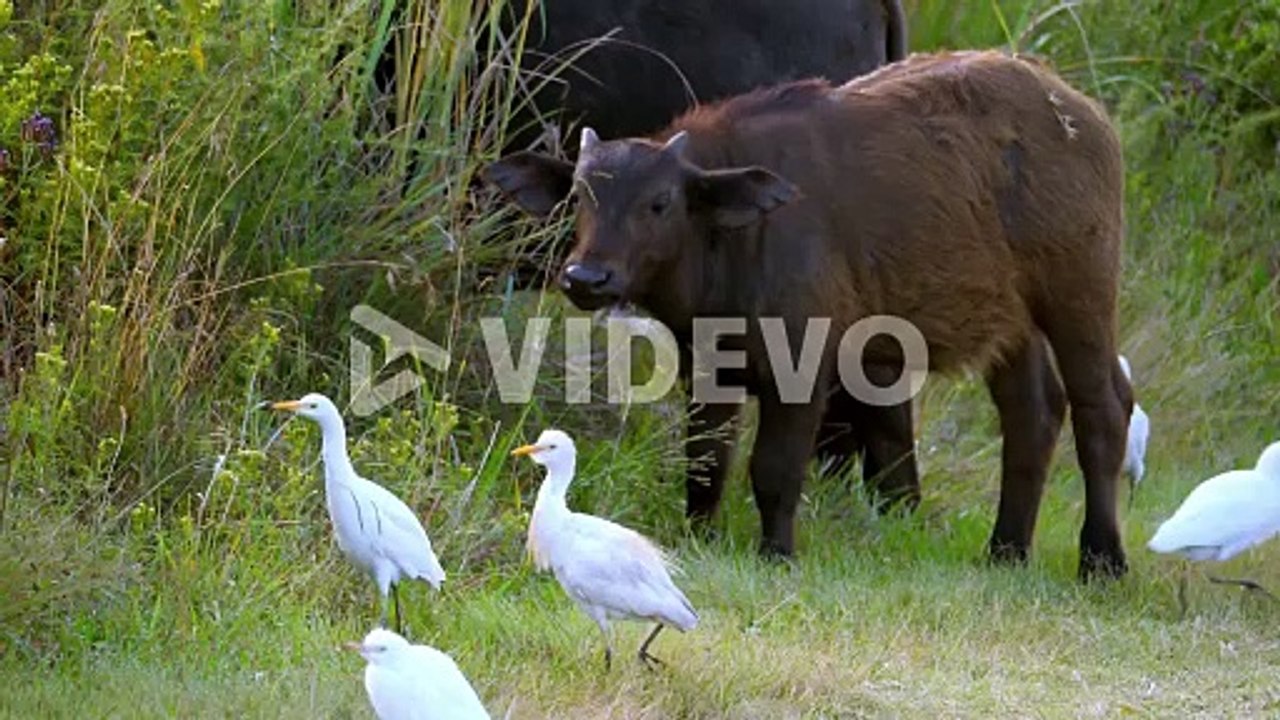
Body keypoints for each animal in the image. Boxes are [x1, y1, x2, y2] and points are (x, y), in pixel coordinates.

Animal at [482, 51, 1133, 580]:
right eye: (579, 197)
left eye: (659, 202)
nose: (586, 277)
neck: (735, 241)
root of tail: (1084, 116)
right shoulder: (708, 369)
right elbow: (705, 460)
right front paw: (699, 537)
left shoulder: (801, 368)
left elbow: (774, 467)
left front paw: (777, 553)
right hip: (1010, 324)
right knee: (1033, 412)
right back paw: (1006, 550)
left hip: (1080, 294)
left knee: (1103, 407)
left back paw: (1102, 559)